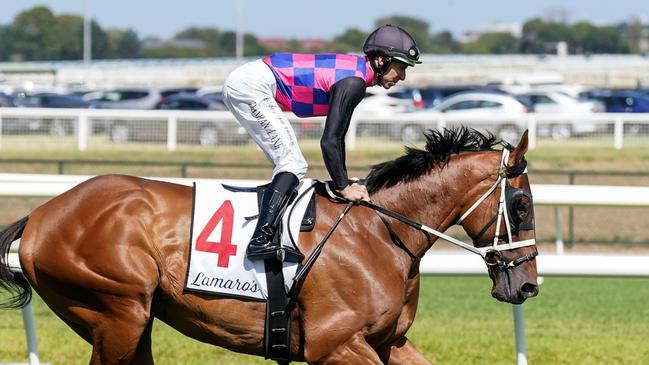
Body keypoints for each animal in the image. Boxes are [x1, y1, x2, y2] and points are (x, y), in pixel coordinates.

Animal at [0, 126, 536, 362]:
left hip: (132, 321)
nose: (529, 286)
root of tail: (42, 214)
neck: (382, 234)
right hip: (117, 311)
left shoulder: (390, 342)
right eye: (524, 205)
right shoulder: (335, 346)